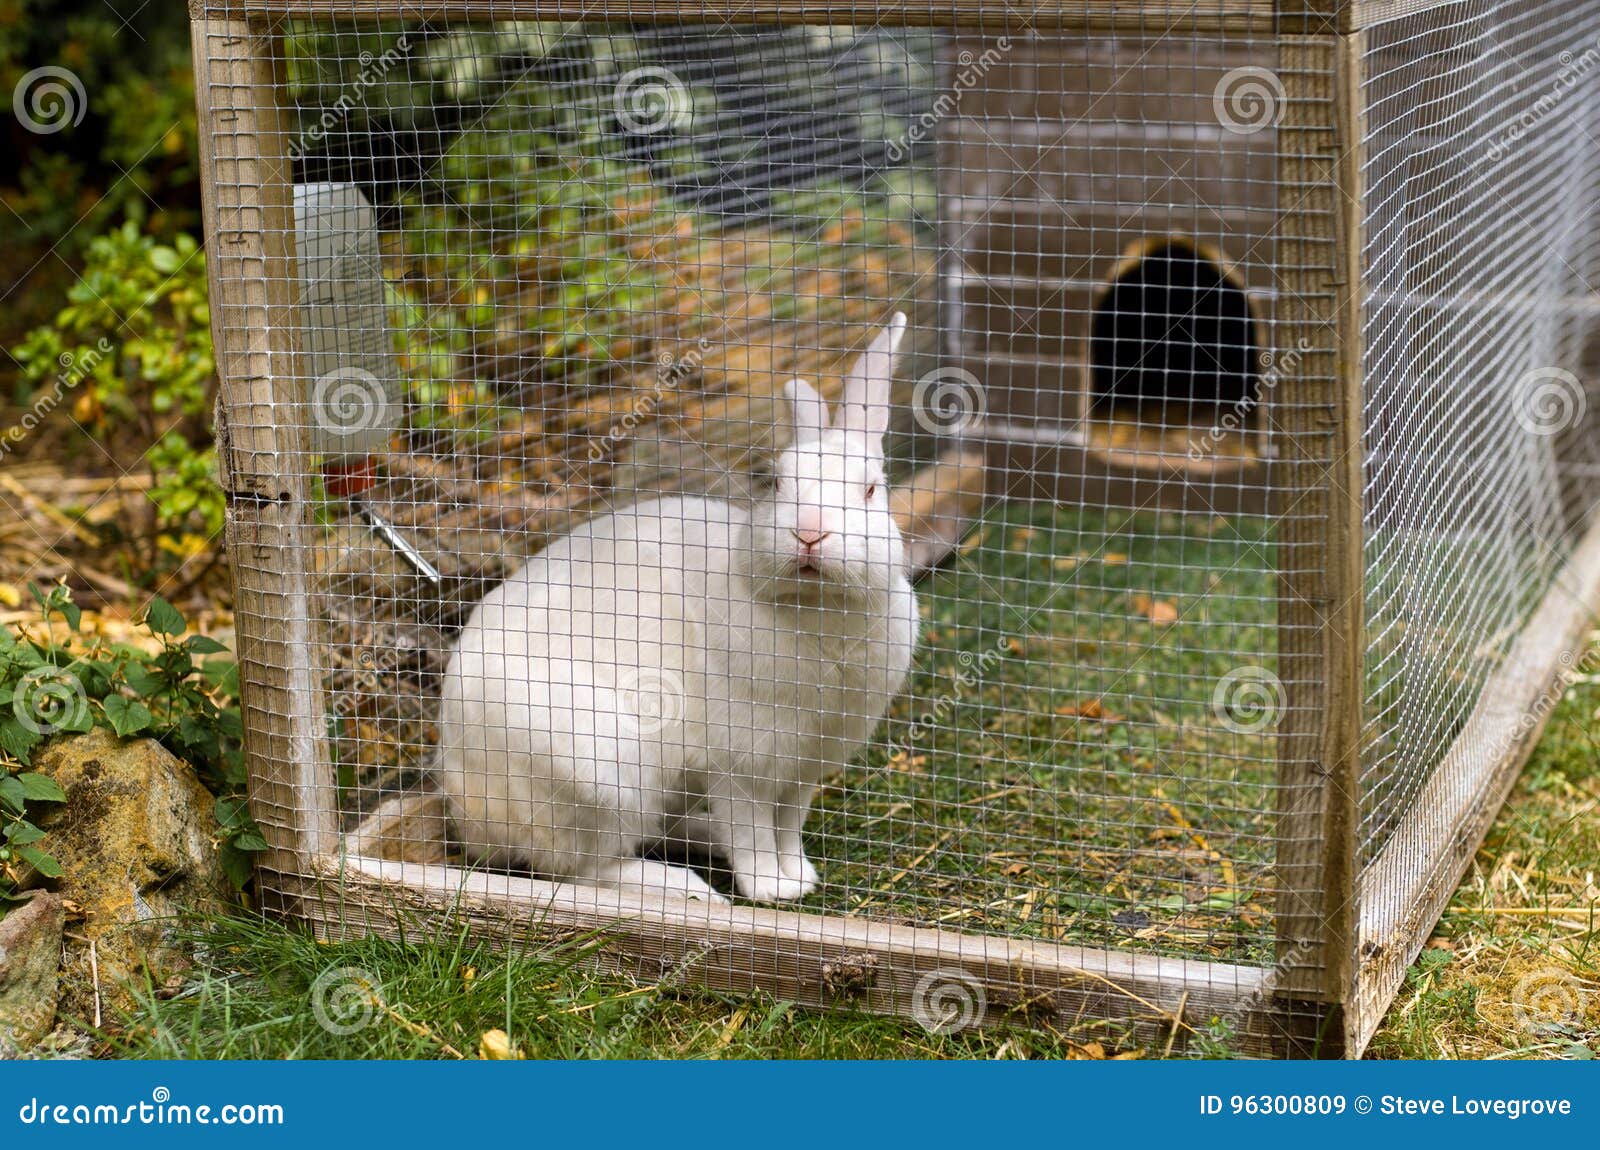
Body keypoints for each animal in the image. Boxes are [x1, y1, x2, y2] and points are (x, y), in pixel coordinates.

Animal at [433, 313, 919, 904]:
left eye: (871, 490)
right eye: (776, 483)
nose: (809, 533)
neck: (816, 606)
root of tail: (468, 814)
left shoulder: (804, 770)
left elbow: (788, 826)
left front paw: (800, 878)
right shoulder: (740, 765)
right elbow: (753, 831)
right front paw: (770, 890)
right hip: (599, 778)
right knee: (585, 870)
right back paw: (685, 890)